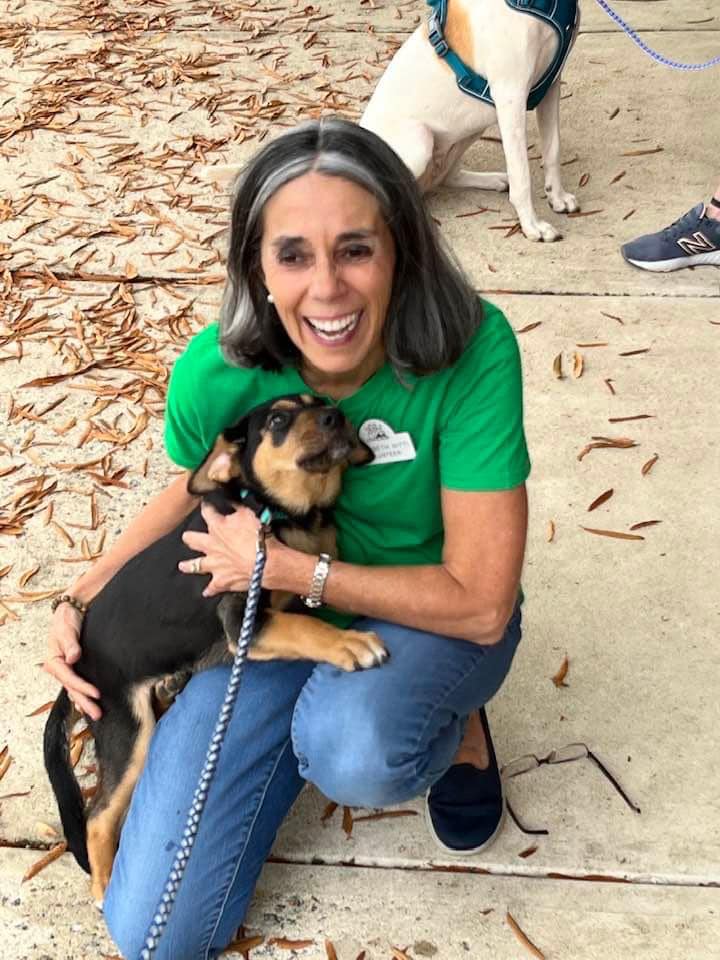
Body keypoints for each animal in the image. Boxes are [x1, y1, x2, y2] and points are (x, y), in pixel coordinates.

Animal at [43, 394, 388, 904]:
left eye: (322, 403)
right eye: (278, 419)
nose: (336, 416)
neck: (278, 513)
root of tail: (79, 659)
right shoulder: (244, 619)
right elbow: (306, 627)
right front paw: (351, 642)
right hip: (128, 731)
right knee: (99, 817)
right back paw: (104, 887)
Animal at [360, 0, 580, 242]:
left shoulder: (551, 86)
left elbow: (552, 150)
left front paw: (557, 196)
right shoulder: (511, 95)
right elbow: (521, 175)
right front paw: (532, 225)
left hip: (471, 128)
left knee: (448, 176)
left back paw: (493, 180)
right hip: (420, 141)